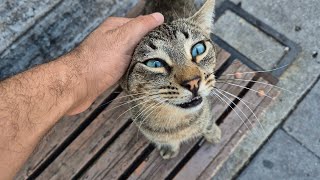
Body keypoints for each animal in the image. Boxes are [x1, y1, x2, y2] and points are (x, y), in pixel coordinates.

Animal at [120, 0, 220, 158]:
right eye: (155, 64)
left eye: (198, 49)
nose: (193, 82)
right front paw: (168, 147)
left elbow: (208, 121)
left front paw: (213, 133)